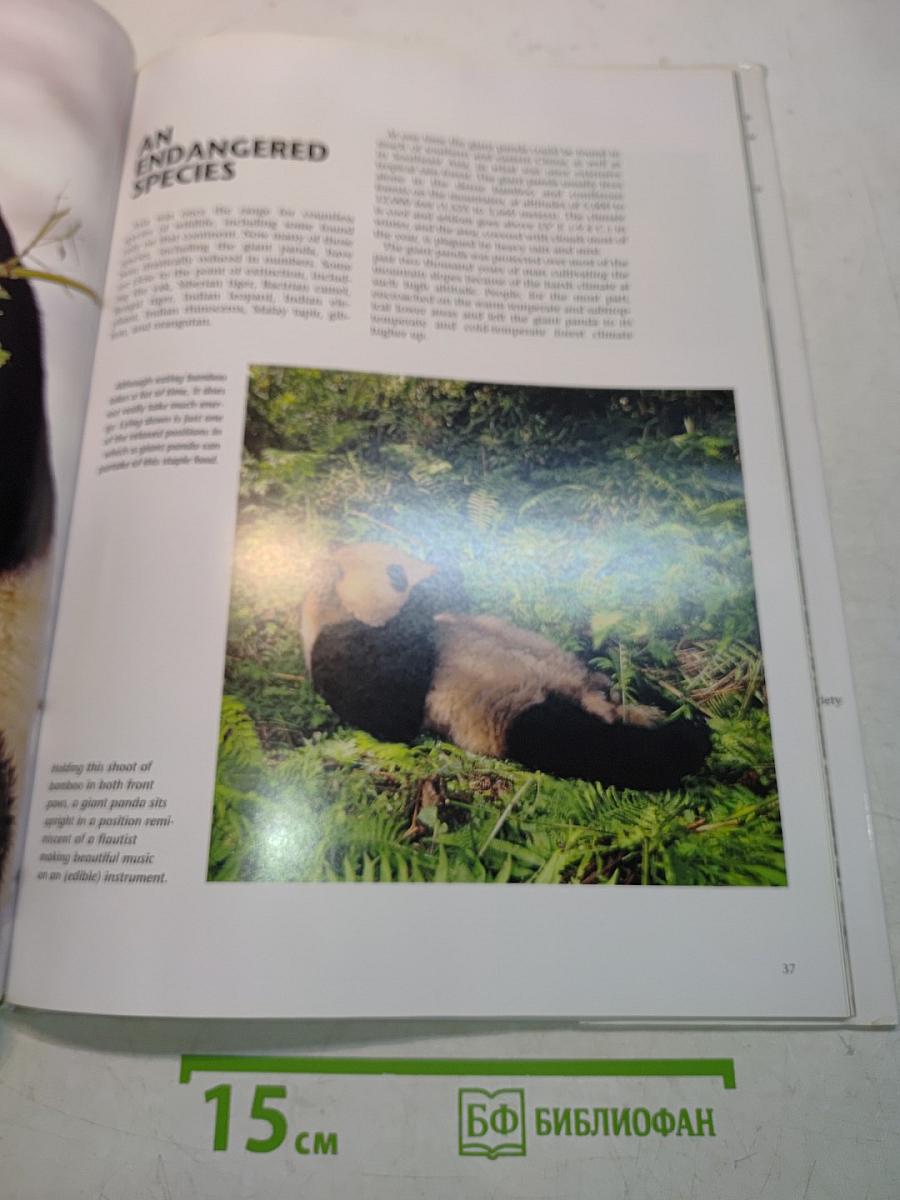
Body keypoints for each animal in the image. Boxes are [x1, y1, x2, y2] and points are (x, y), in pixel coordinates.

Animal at [300, 542, 710, 791]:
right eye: (397, 573)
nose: (439, 565)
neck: (331, 609)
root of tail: (598, 701)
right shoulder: (342, 649)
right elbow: (390, 715)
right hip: (517, 715)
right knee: (585, 744)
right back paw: (687, 741)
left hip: (596, 676)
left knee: (634, 692)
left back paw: (679, 713)